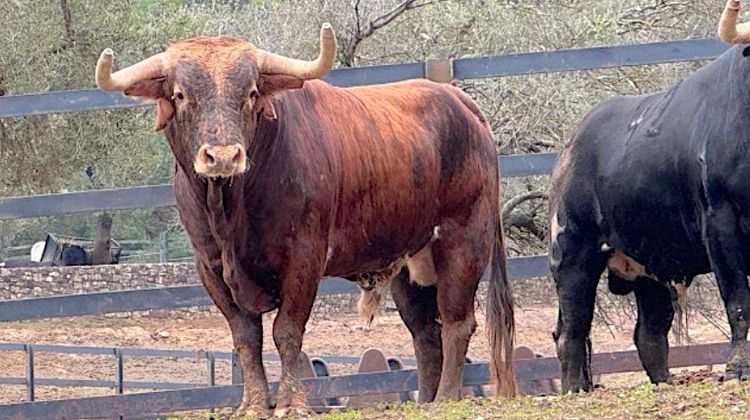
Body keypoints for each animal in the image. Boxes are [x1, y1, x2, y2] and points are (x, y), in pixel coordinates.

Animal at [95, 25, 516, 416]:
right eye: (180, 95)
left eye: (251, 93)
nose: (223, 156)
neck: (231, 213)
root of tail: (458, 100)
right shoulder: (210, 267)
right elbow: (245, 337)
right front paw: (253, 404)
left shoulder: (303, 259)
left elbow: (287, 332)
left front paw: (290, 403)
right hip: (409, 263)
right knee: (426, 333)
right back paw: (426, 401)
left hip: (465, 242)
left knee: (457, 322)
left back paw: (445, 397)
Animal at [548, 44, 750, 392]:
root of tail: (569, 151)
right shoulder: (722, 225)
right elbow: (739, 303)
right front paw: (738, 370)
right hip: (574, 255)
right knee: (572, 329)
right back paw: (573, 389)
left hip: (651, 271)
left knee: (648, 334)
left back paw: (665, 383)